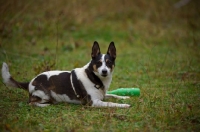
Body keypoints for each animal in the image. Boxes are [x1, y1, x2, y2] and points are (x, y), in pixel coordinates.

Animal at [1, 41, 131, 108]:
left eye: (109, 63)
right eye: (98, 63)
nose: (104, 71)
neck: (93, 77)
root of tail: (30, 82)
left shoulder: (102, 96)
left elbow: (113, 95)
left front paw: (125, 97)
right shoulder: (94, 102)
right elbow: (111, 103)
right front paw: (125, 105)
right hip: (45, 95)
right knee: (31, 103)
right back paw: (47, 105)